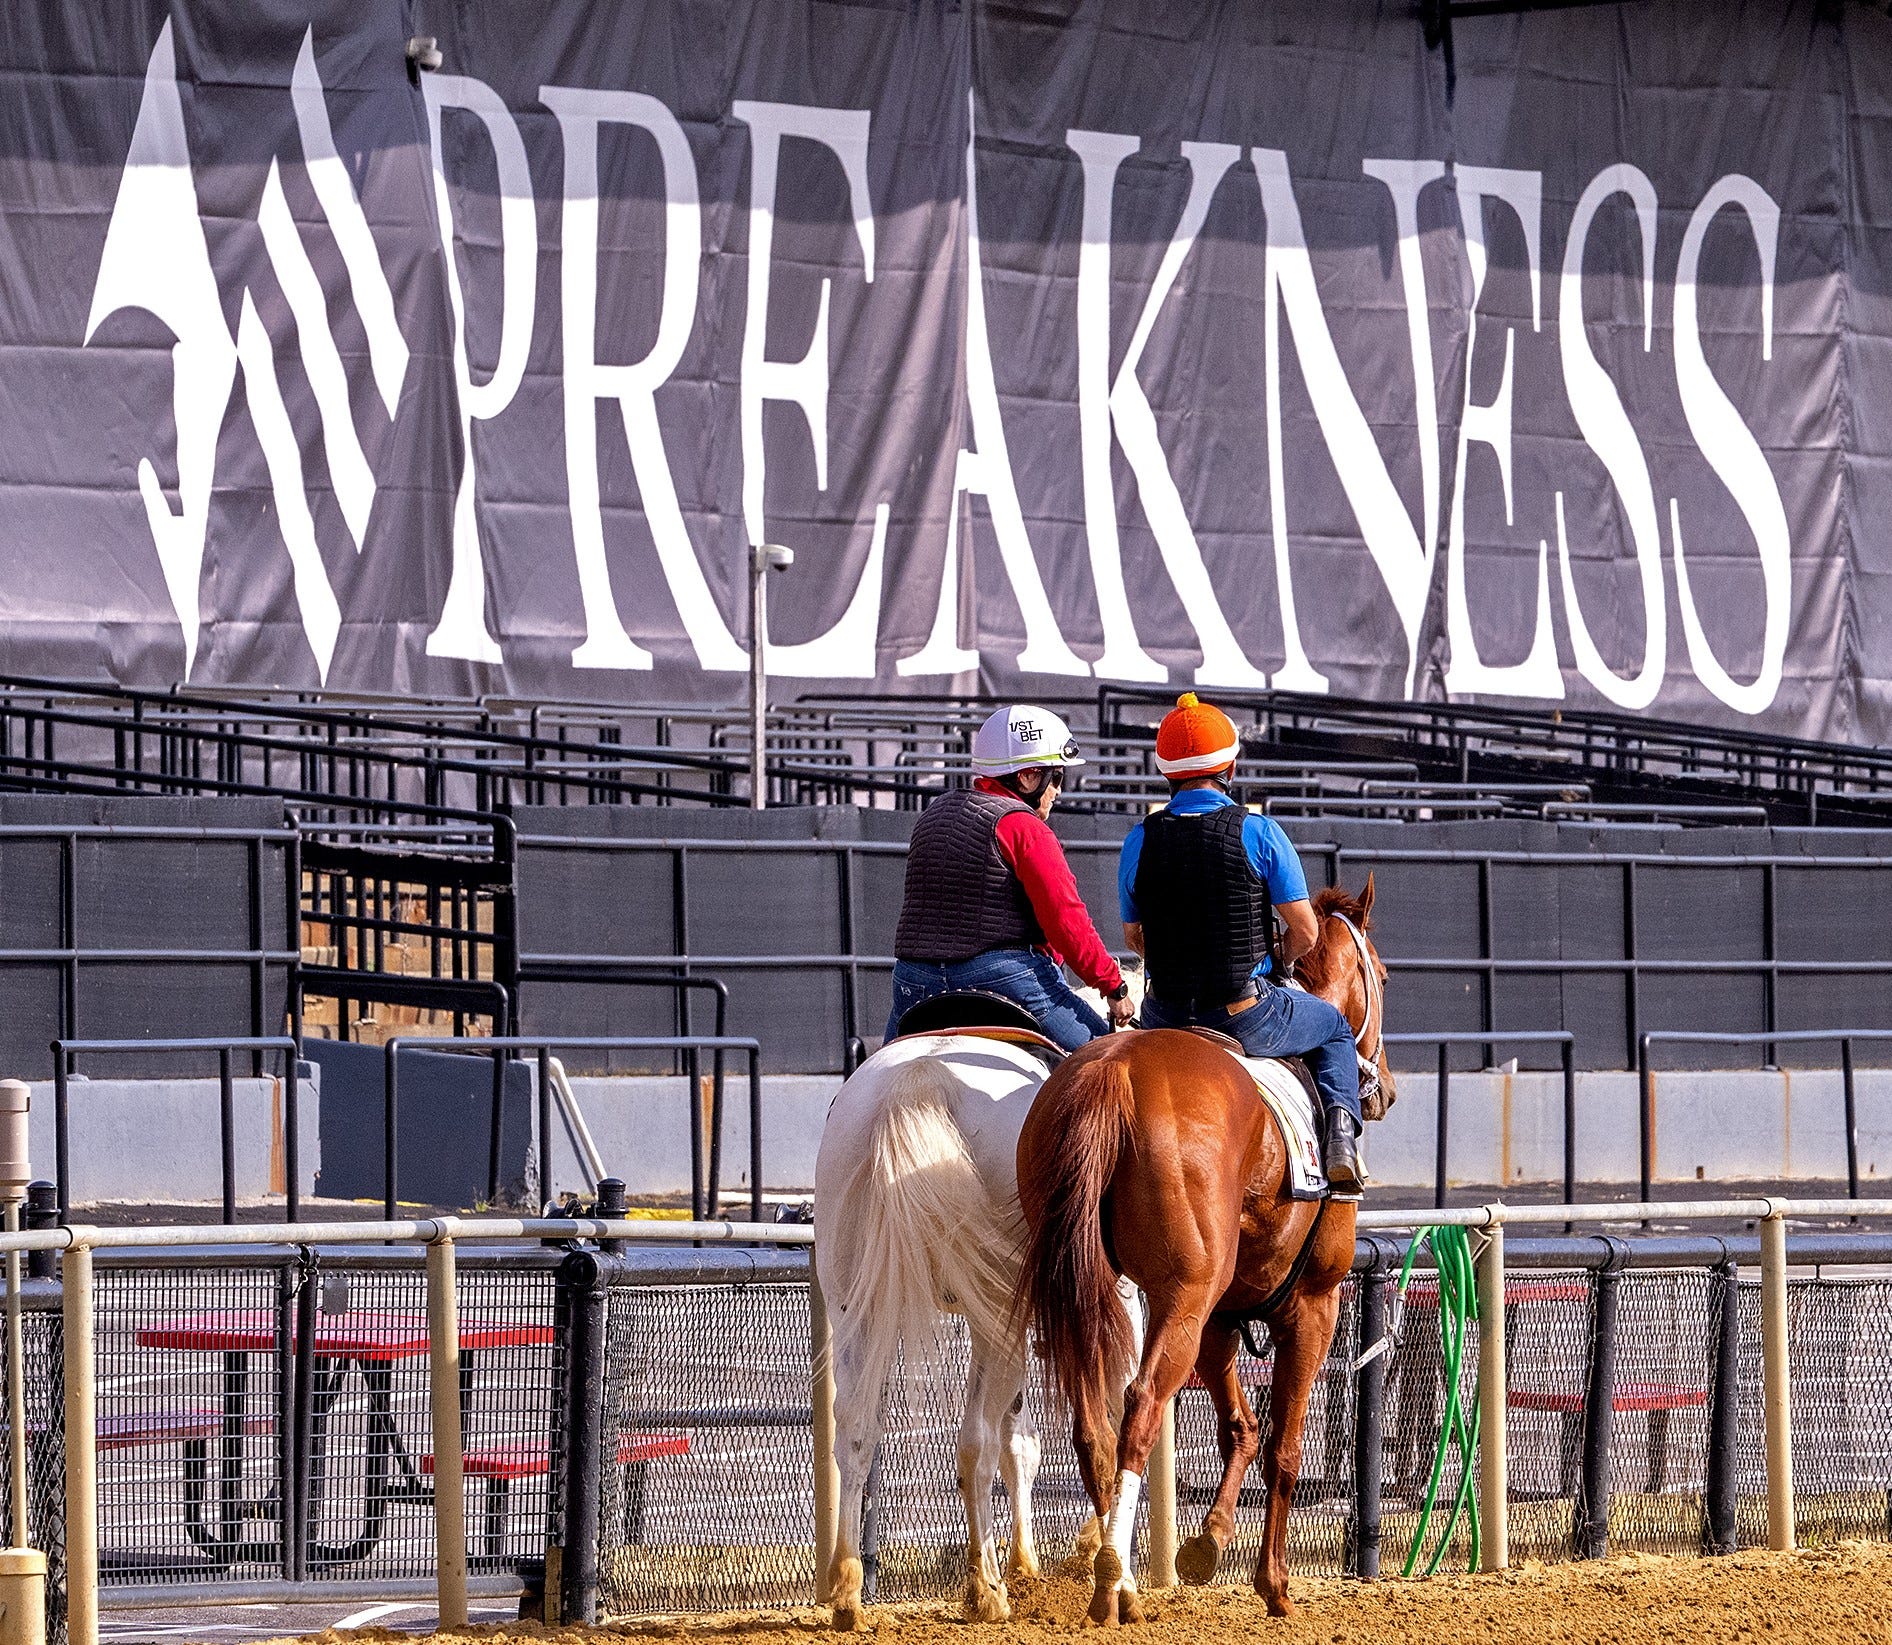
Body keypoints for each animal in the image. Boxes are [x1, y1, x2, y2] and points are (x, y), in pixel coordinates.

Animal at [813, 1029, 1135, 1620]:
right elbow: (1114, 1419)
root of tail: (918, 1078)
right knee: (975, 1442)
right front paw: (1101, 1560)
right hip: (998, 1317)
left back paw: (847, 1587)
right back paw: (985, 1587)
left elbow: (1026, 1443)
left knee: (857, 1430)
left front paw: (1031, 1562)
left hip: (856, 1306)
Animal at [1021, 878, 1392, 1620]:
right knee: (1139, 1407)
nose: (1386, 1090)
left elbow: (1239, 1426)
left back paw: (1120, 1574)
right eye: (1386, 978)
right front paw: (1273, 1582)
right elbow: (1283, 1443)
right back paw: (1113, 1582)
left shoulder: (1224, 1314)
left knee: (1093, 1424)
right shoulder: (1314, 1305)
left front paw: (1210, 1539)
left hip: (1094, 1294)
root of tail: (1115, 1070)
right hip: (1181, 1300)